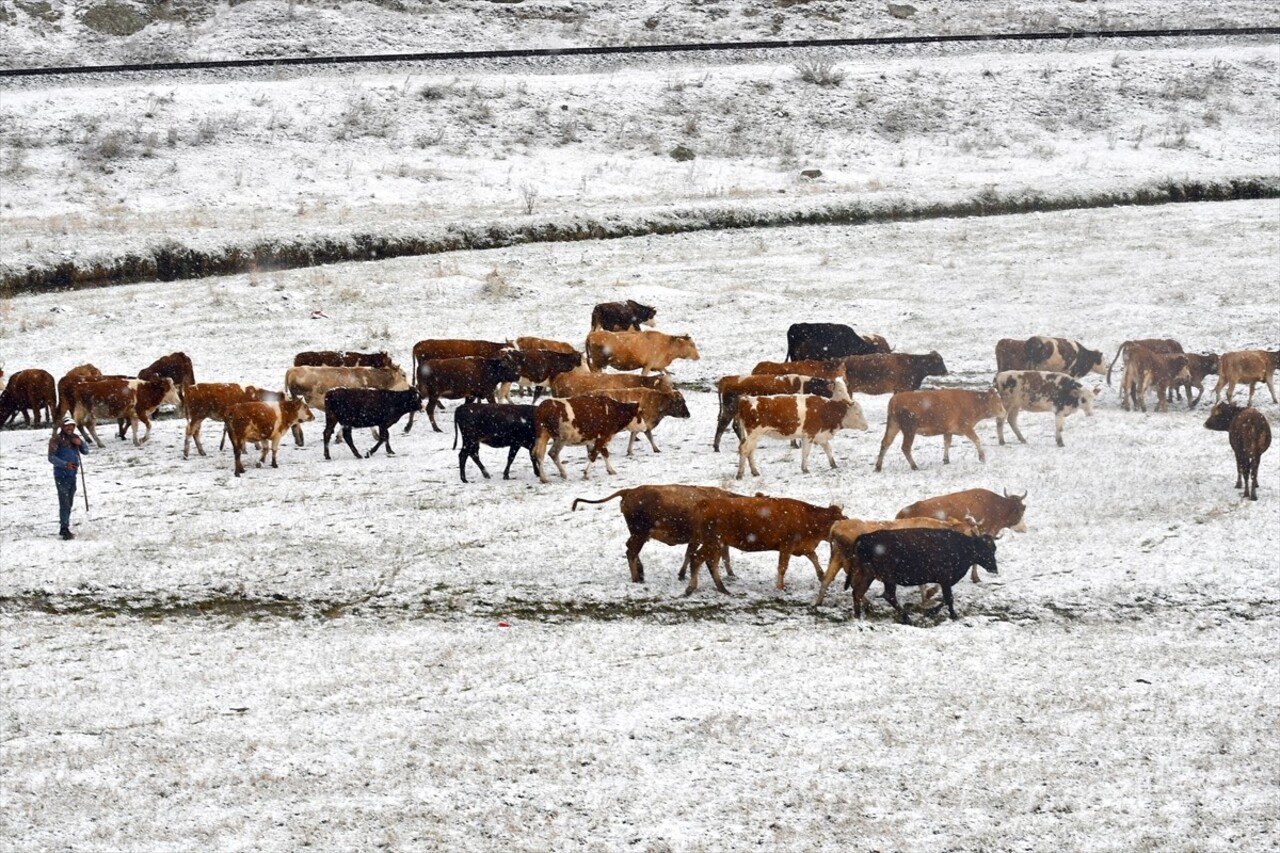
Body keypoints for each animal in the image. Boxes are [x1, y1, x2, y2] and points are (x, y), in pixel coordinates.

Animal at [570, 481, 742, 581]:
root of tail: (629, 491)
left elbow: (717, 555)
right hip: (640, 533)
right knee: (631, 551)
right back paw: (636, 577)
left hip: (637, 534)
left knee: (630, 548)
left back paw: (640, 572)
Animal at [686, 494, 844, 594]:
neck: (808, 517)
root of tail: (706, 503)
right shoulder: (786, 546)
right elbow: (782, 567)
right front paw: (780, 587)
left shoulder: (803, 547)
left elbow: (814, 558)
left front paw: (822, 576)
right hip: (713, 543)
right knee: (697, 558)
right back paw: (691, 588)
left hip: (716, 545)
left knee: (710, 562)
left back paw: (722, 589)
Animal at [732, 394, 870, 479]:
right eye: (857, 413)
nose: (866, 426)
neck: (824, 410)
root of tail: (745, 400)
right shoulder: (809, 434)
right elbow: (806, 452)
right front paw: (805, 469)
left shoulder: (821, 435)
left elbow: (828, 449)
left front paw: (833, 464)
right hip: (755, 433)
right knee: (744, 449)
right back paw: (740, 474)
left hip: (754, 436)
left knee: (749, 451)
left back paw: (754, 472)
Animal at [849, 527, 998, 622]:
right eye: (985, 548)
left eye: (994, 548)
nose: (995, 569)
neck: (960, 546)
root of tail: (865, 537)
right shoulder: (945, 578)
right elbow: (949, 598)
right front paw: (953, 616)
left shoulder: (946, 580)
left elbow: (946, 598)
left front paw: (932, 612)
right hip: (888, 577)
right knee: (888, 595)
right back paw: (907, 618)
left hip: (869, 574)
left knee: (858, 593)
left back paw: (858, 617)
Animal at [875, 386, 1003, 468]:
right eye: (998, 401)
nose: (1004, 412)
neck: (973, 403)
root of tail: (895, 399)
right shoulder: (966, 427)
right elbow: (976, 439)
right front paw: (982, 457)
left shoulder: (948, 430)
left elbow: (947, 443)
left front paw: (946, 460)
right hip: (909, 430)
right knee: (905, 447)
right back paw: (914, 466)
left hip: (893, 425)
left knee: (885, 442)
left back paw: (878, 466)